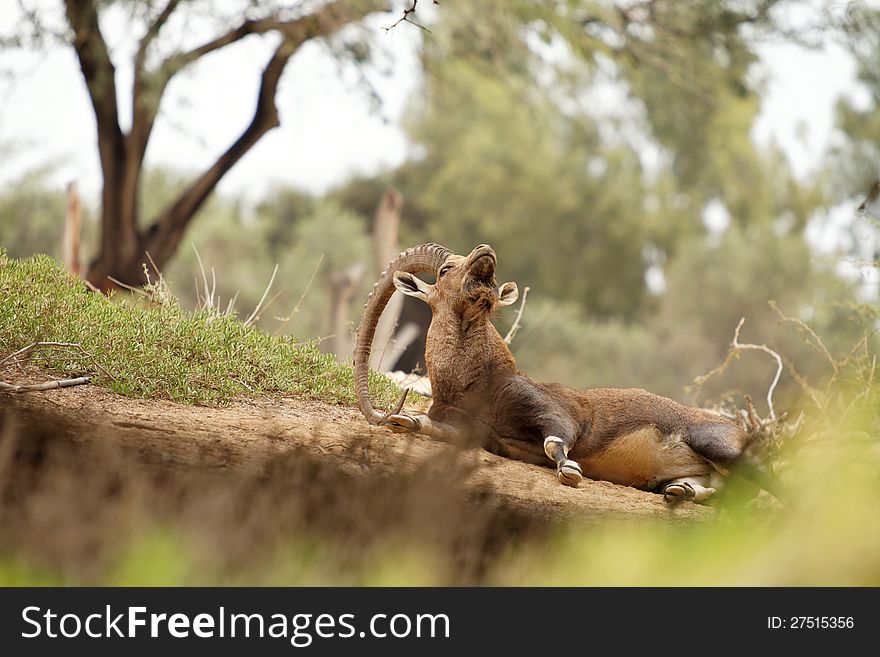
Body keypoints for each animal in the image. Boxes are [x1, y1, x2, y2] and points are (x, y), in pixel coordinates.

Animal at [354, 242, 772, 502]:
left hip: (717, 444)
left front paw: (570, 469)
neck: (479, 384)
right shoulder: (473, 431)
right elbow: (432, 427)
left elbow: (556, 440)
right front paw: (404, 421)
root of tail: (738, 428)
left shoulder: (553, 410)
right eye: (444, 269)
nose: (485, 251)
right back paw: (680, 492)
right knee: (715, 487)